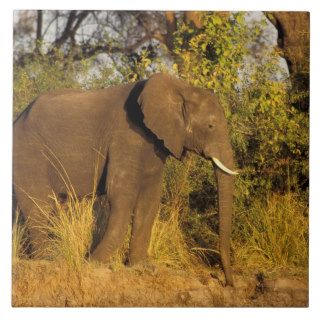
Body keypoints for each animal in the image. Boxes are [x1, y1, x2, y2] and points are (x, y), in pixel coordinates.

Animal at [12, 74, 236, 286]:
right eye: (210, 126)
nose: (227, 283)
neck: (181, 88)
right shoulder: (126, 136)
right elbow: (122, 195)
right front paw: (93, 264)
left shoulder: (154, 146)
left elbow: (149, 202)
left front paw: (141, 267)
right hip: (28, 154)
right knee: (38, 207)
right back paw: (47, 260)